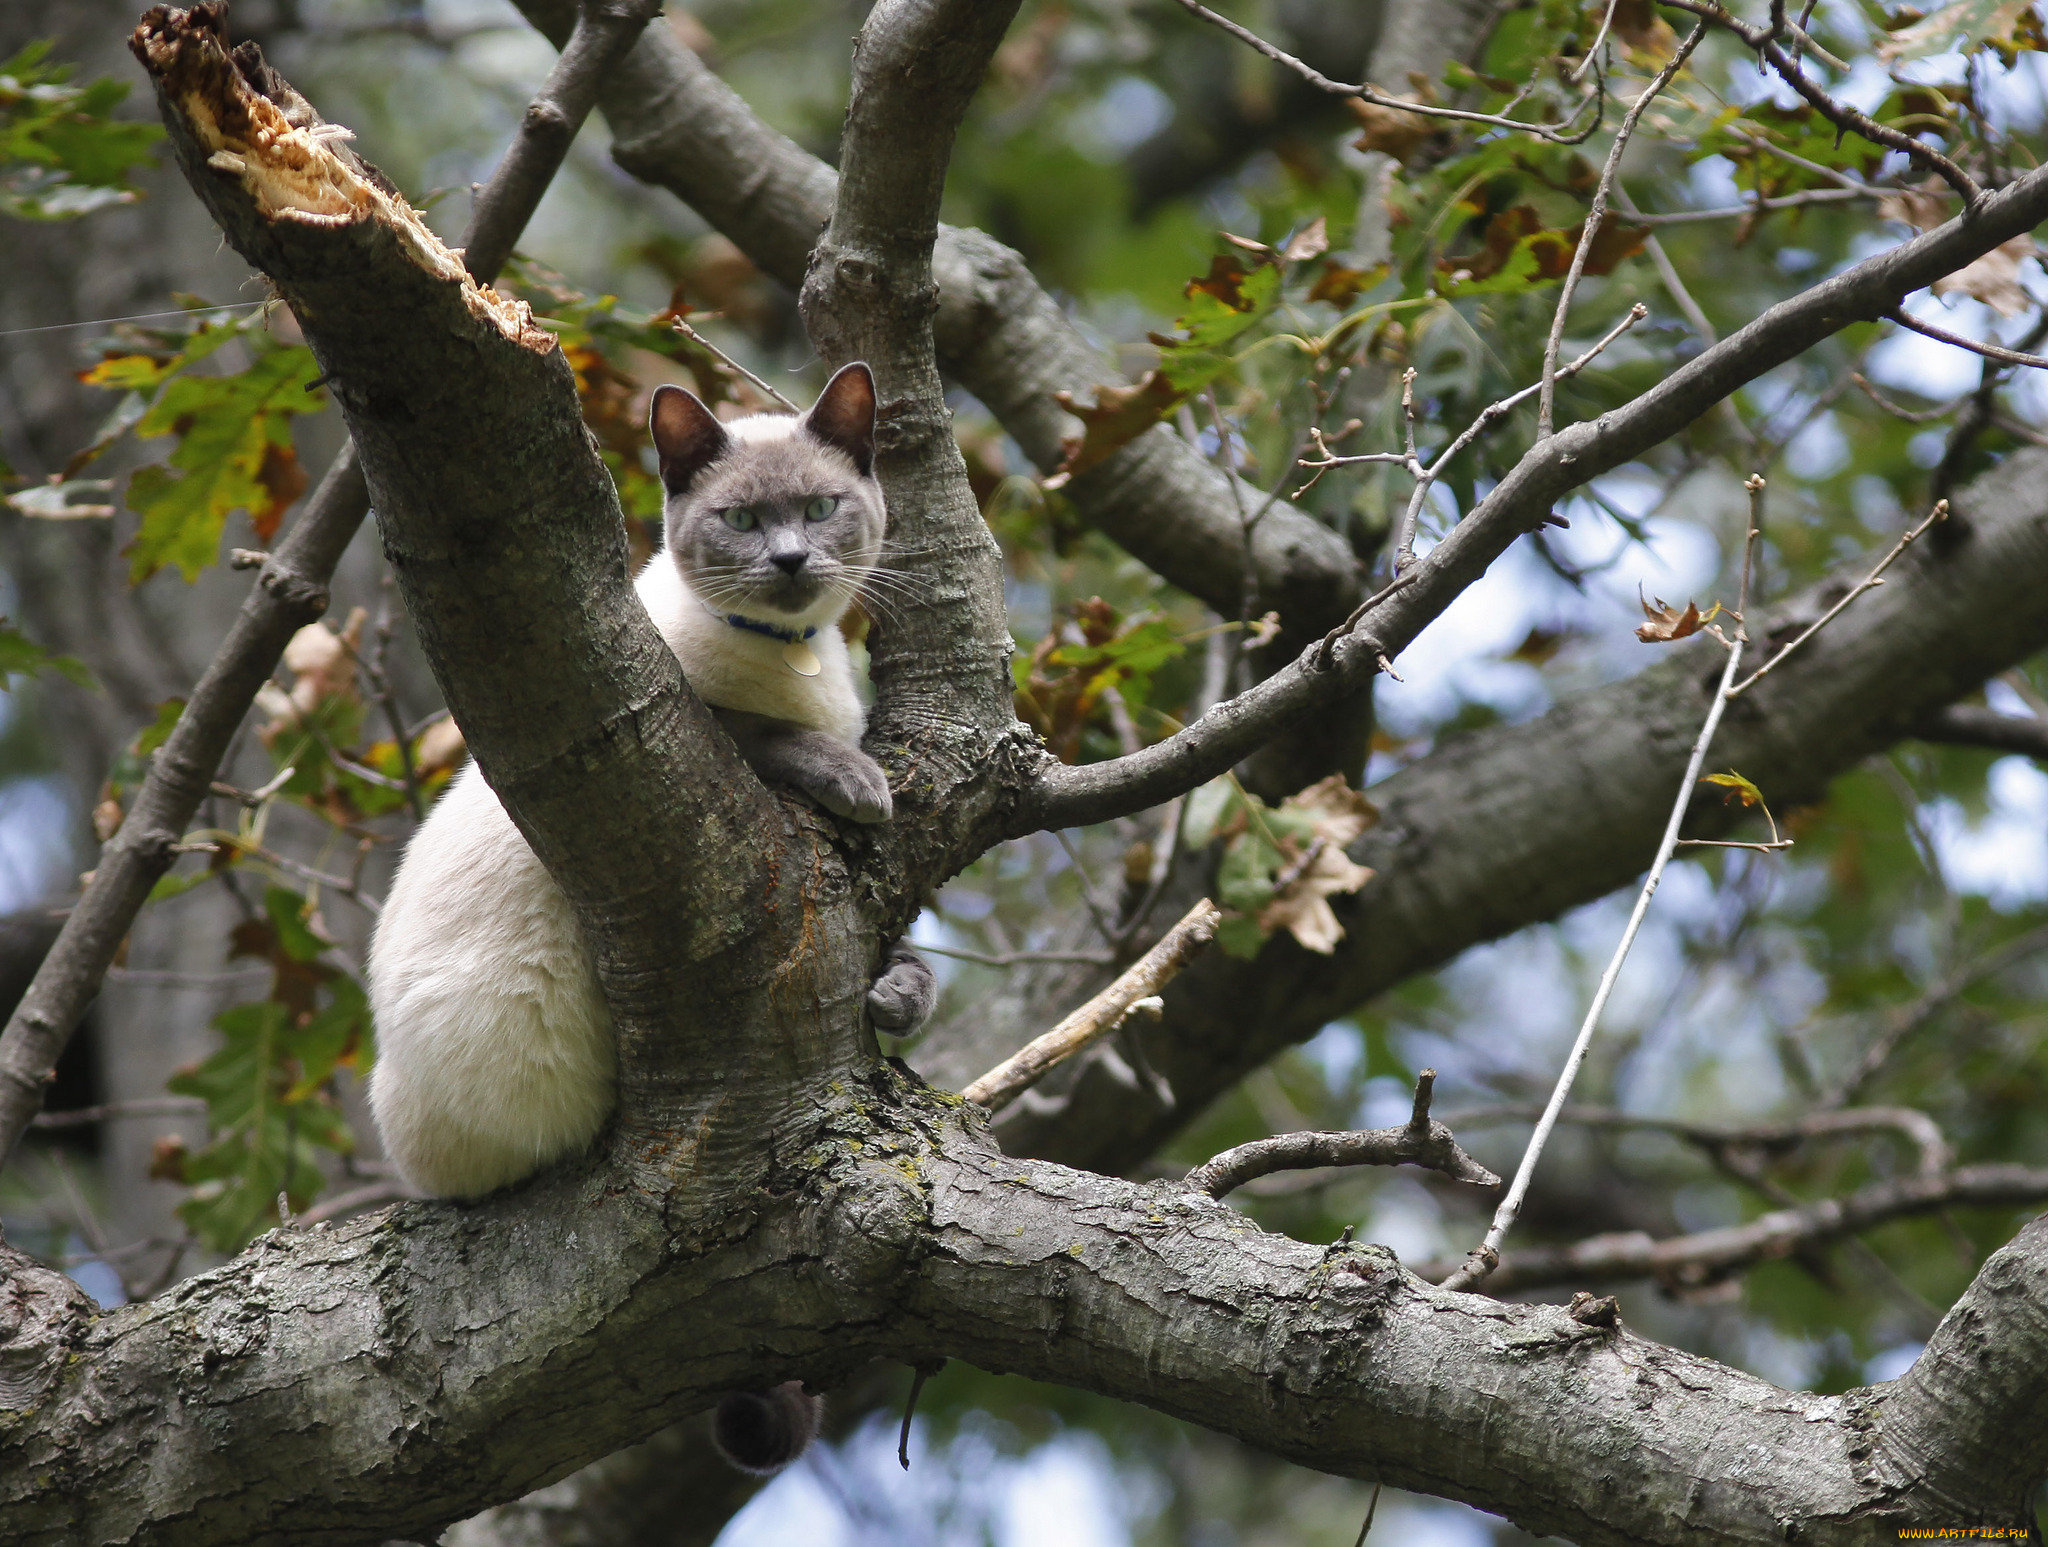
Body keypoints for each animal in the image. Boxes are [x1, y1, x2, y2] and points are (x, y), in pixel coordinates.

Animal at [366, 362, 937, 1475]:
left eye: (818, 510)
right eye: (743, 521)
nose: (791, 559)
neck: (798, 658)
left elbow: (907, 961)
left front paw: (898, 994)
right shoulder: (694, 724)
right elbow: (766, 736)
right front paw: (862, 783)